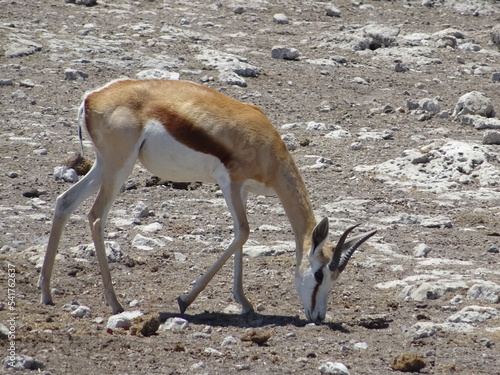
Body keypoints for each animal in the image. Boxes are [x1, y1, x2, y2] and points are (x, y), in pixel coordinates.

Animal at [39, 78, 376, 322]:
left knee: (65, 202)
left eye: (336, 277)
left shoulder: (243, 191)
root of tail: (92, 97)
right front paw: (184, 300)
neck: (265, 145)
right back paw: (115, 304)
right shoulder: (231, 183)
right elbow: (243, 232)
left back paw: (46, 293)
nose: (318, 316)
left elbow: (242, 238)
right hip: (119, 165)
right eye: (320, 274)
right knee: (96, 216)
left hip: (103, 165)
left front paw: (245, 303)